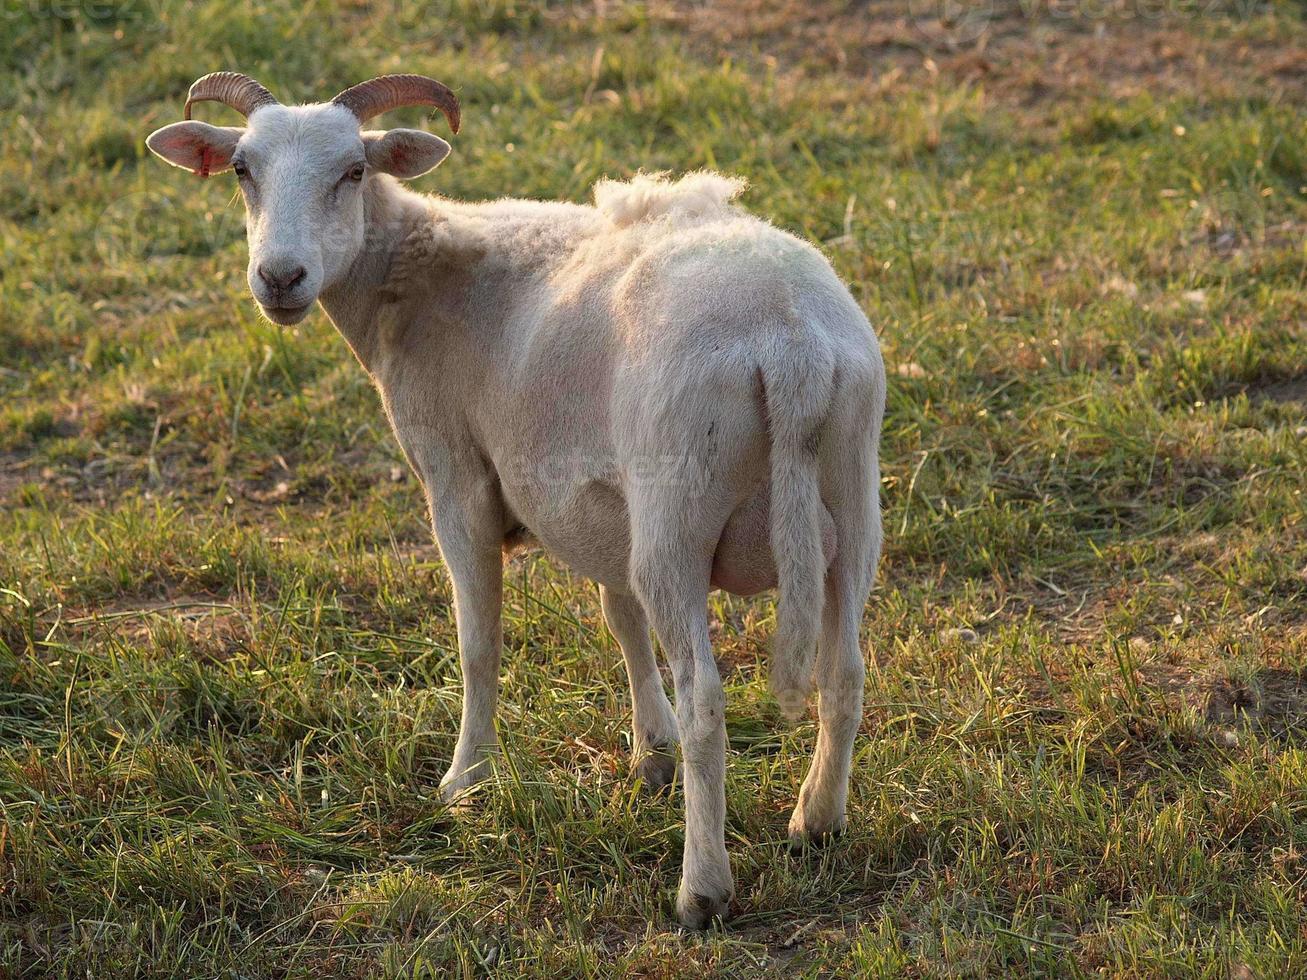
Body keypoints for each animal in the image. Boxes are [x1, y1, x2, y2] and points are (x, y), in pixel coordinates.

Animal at [150, 72, 888, 930]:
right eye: (241, 170)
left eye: (353, 171)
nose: (279, 278)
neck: (414, 277)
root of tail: (788, 341)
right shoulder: (599, 503)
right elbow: (620, 619)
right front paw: (649, 752)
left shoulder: (457, 478)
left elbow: (479, 644)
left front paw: (465, 782)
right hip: (849, 502)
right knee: (844, 673)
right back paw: (817, 820)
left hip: (675, 510)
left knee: (709, 701)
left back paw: (701, 890)